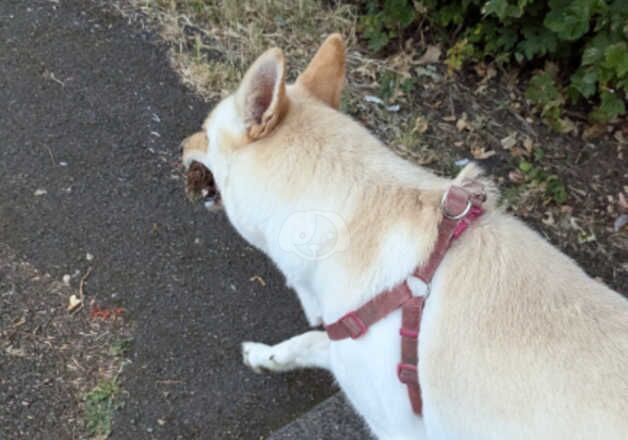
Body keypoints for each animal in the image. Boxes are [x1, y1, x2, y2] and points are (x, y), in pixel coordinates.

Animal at [180, 32, 628, 438]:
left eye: (204, 131)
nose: (182, 145)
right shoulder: (352, 358)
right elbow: (308, 341)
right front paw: (267, 356)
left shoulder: (396, 422)